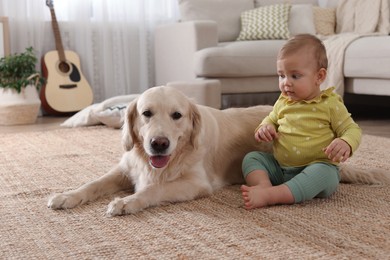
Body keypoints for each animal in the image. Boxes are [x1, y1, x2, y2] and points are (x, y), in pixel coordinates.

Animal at [48, 85, 390, 215]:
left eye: (177, 115)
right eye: (146, 114)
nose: (159, 143)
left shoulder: (195, 183)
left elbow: (153, 190)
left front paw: (126, 202)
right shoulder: (124, 169)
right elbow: (92, 183)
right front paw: (66, 196)